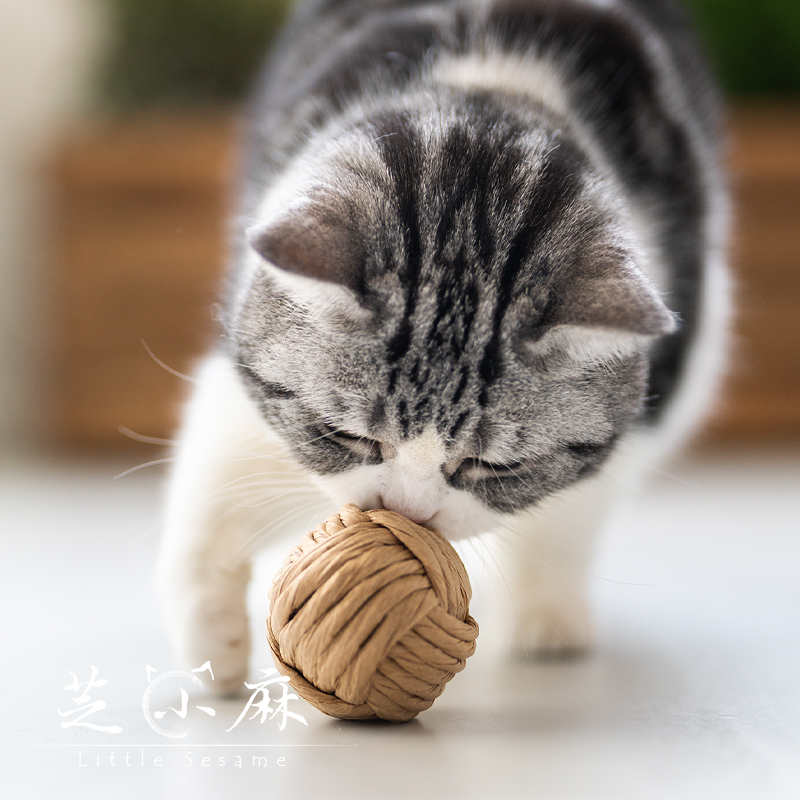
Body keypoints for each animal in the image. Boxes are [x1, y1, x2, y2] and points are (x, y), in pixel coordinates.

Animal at [156, 0, 732, 692]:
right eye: (347, 435)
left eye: (492, 467)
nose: (407, 513)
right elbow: (219, 486)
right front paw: (212, 646)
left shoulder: (659, 396)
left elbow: (568, 516)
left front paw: (545, 617)